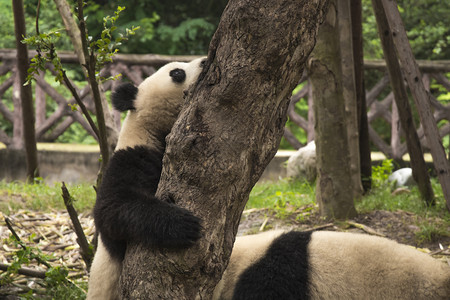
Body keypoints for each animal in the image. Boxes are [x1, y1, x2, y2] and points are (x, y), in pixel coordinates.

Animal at [87, 56, 207, 300]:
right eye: (177, 73)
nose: (205, 61)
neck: (149, 129)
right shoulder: (129, 159)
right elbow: (112, 208)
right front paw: (184, 224)